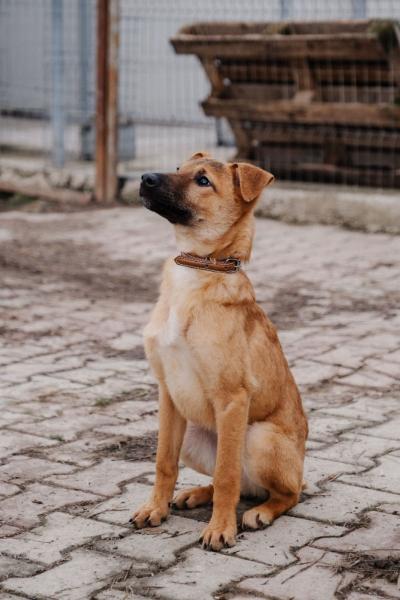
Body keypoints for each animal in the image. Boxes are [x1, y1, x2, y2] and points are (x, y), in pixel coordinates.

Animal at [132, 152, 308, 551]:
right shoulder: (168, 394)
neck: (200, 267)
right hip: (192, 435)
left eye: (203, 181)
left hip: (259, 438)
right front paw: (155, 508)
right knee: (233, 481)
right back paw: (196, 494)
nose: (144, 177)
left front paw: (221, 528)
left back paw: (260, 513)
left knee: (281, 492)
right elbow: (164, 462)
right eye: (178, 169)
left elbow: (227, 474)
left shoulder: (232, 399)